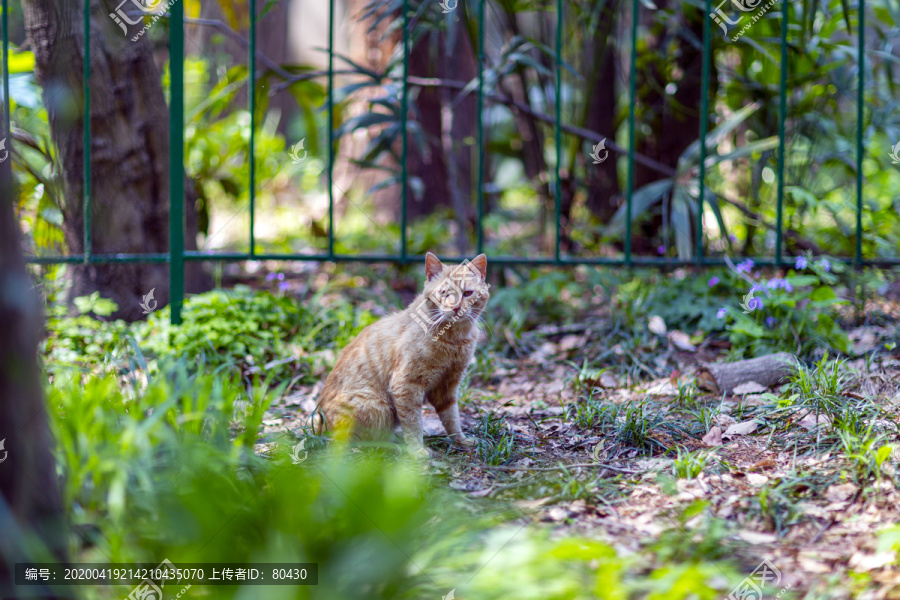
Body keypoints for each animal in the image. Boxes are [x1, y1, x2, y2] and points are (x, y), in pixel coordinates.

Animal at [312, 252, 488, 454]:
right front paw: (417, 450)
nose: (455, 307)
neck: (454, 339)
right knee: (359, 444)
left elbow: (452, 418)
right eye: (443, 293)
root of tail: (319, 427)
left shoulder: (448, 386)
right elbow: (413, 422)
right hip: (377, 406)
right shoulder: (405, 385)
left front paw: (460, 440)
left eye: (467, 293)